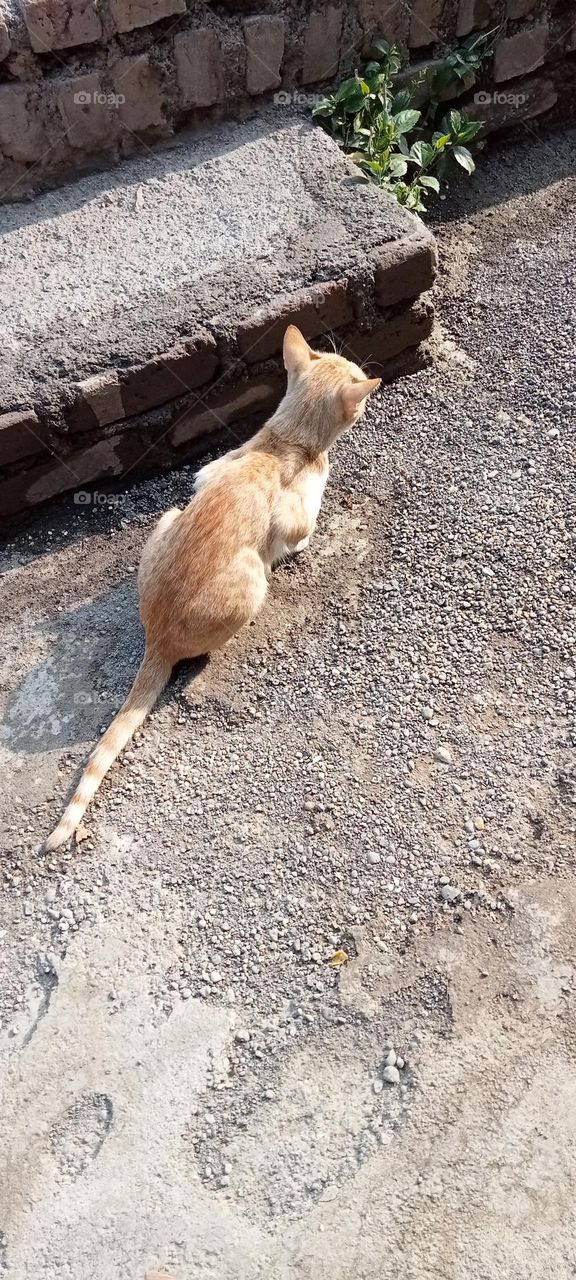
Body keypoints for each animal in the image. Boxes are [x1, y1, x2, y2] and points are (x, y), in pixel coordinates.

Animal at [47, 325, 381, 849]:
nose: (370, 400)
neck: (284, 440)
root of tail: (157, 639)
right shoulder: (297, 516)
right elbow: (298, 533)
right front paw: (301, 546)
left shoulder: (205, 474)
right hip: (251, 584)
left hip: (168, 518)